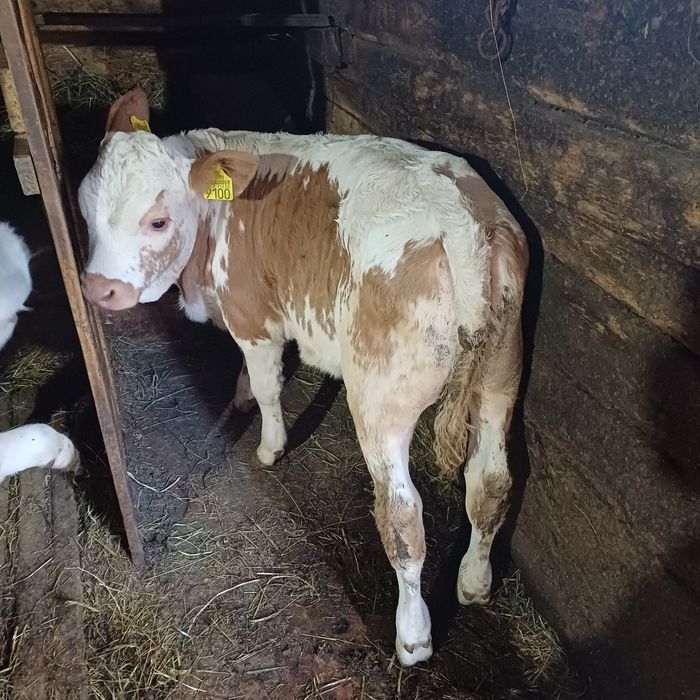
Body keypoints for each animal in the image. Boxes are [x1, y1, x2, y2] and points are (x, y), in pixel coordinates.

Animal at [79, 89, 528, 666]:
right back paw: (473, 582)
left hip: (381, 400)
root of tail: (462, 222)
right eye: (86, 211)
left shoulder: (254, 318)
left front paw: (270, 446)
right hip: (500, 376)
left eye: (157, 222)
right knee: (489, 482)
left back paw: (413, 635)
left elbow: (268, 386)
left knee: (403, 515)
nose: (98, 289)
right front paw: (241, 398)